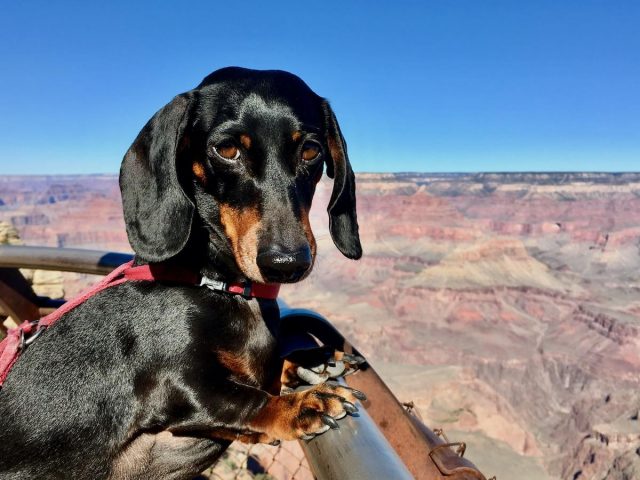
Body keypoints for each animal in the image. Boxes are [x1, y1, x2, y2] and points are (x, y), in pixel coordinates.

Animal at [0, 68, 364, 480]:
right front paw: (302, 405)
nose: (287, 262)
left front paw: (313, 359)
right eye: (227, 150)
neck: (219, 283)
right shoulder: (175, 386)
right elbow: (243, 398)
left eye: (311, 151)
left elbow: (271, 367)